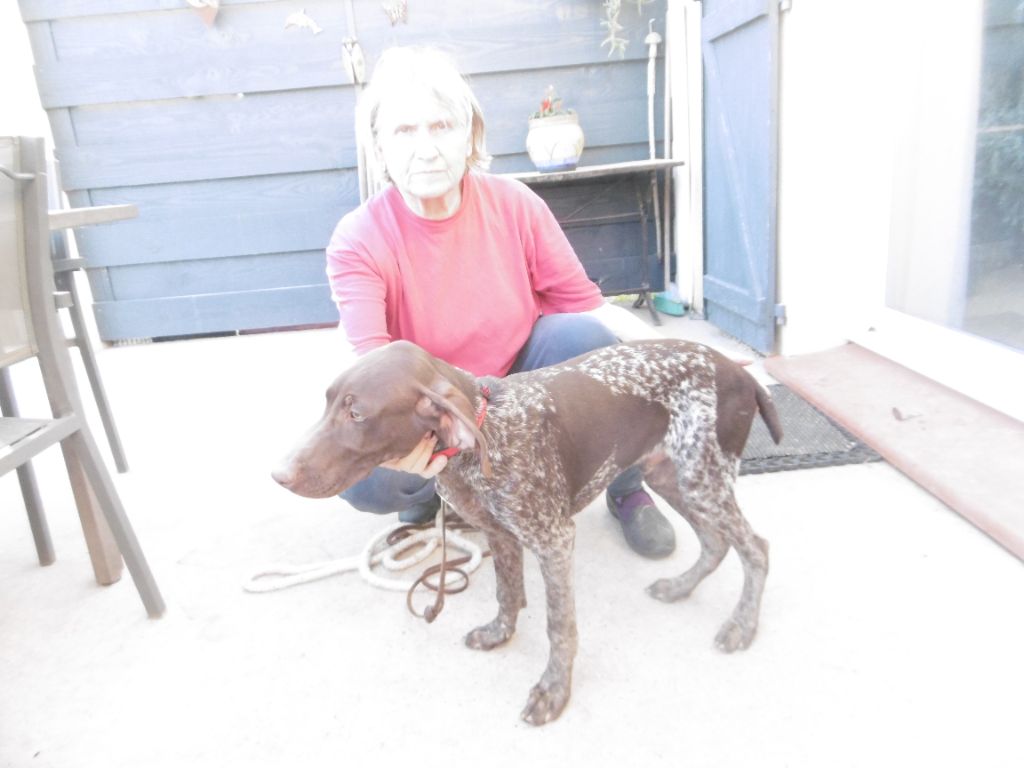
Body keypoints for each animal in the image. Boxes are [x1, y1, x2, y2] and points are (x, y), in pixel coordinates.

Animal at [273, 338, 782, 725]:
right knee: (717, 542)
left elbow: (559, 626)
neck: (484, 434)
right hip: (673, 476)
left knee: (755, 547)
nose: (277, 475)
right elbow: (506, 592)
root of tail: (738, 372)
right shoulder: (499, 533)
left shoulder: (554, 541)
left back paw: (741, 625)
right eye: (327, 403)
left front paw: (553, 690)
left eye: (357, 414)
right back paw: (680, 587)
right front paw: (501, 633)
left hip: (702, 478)